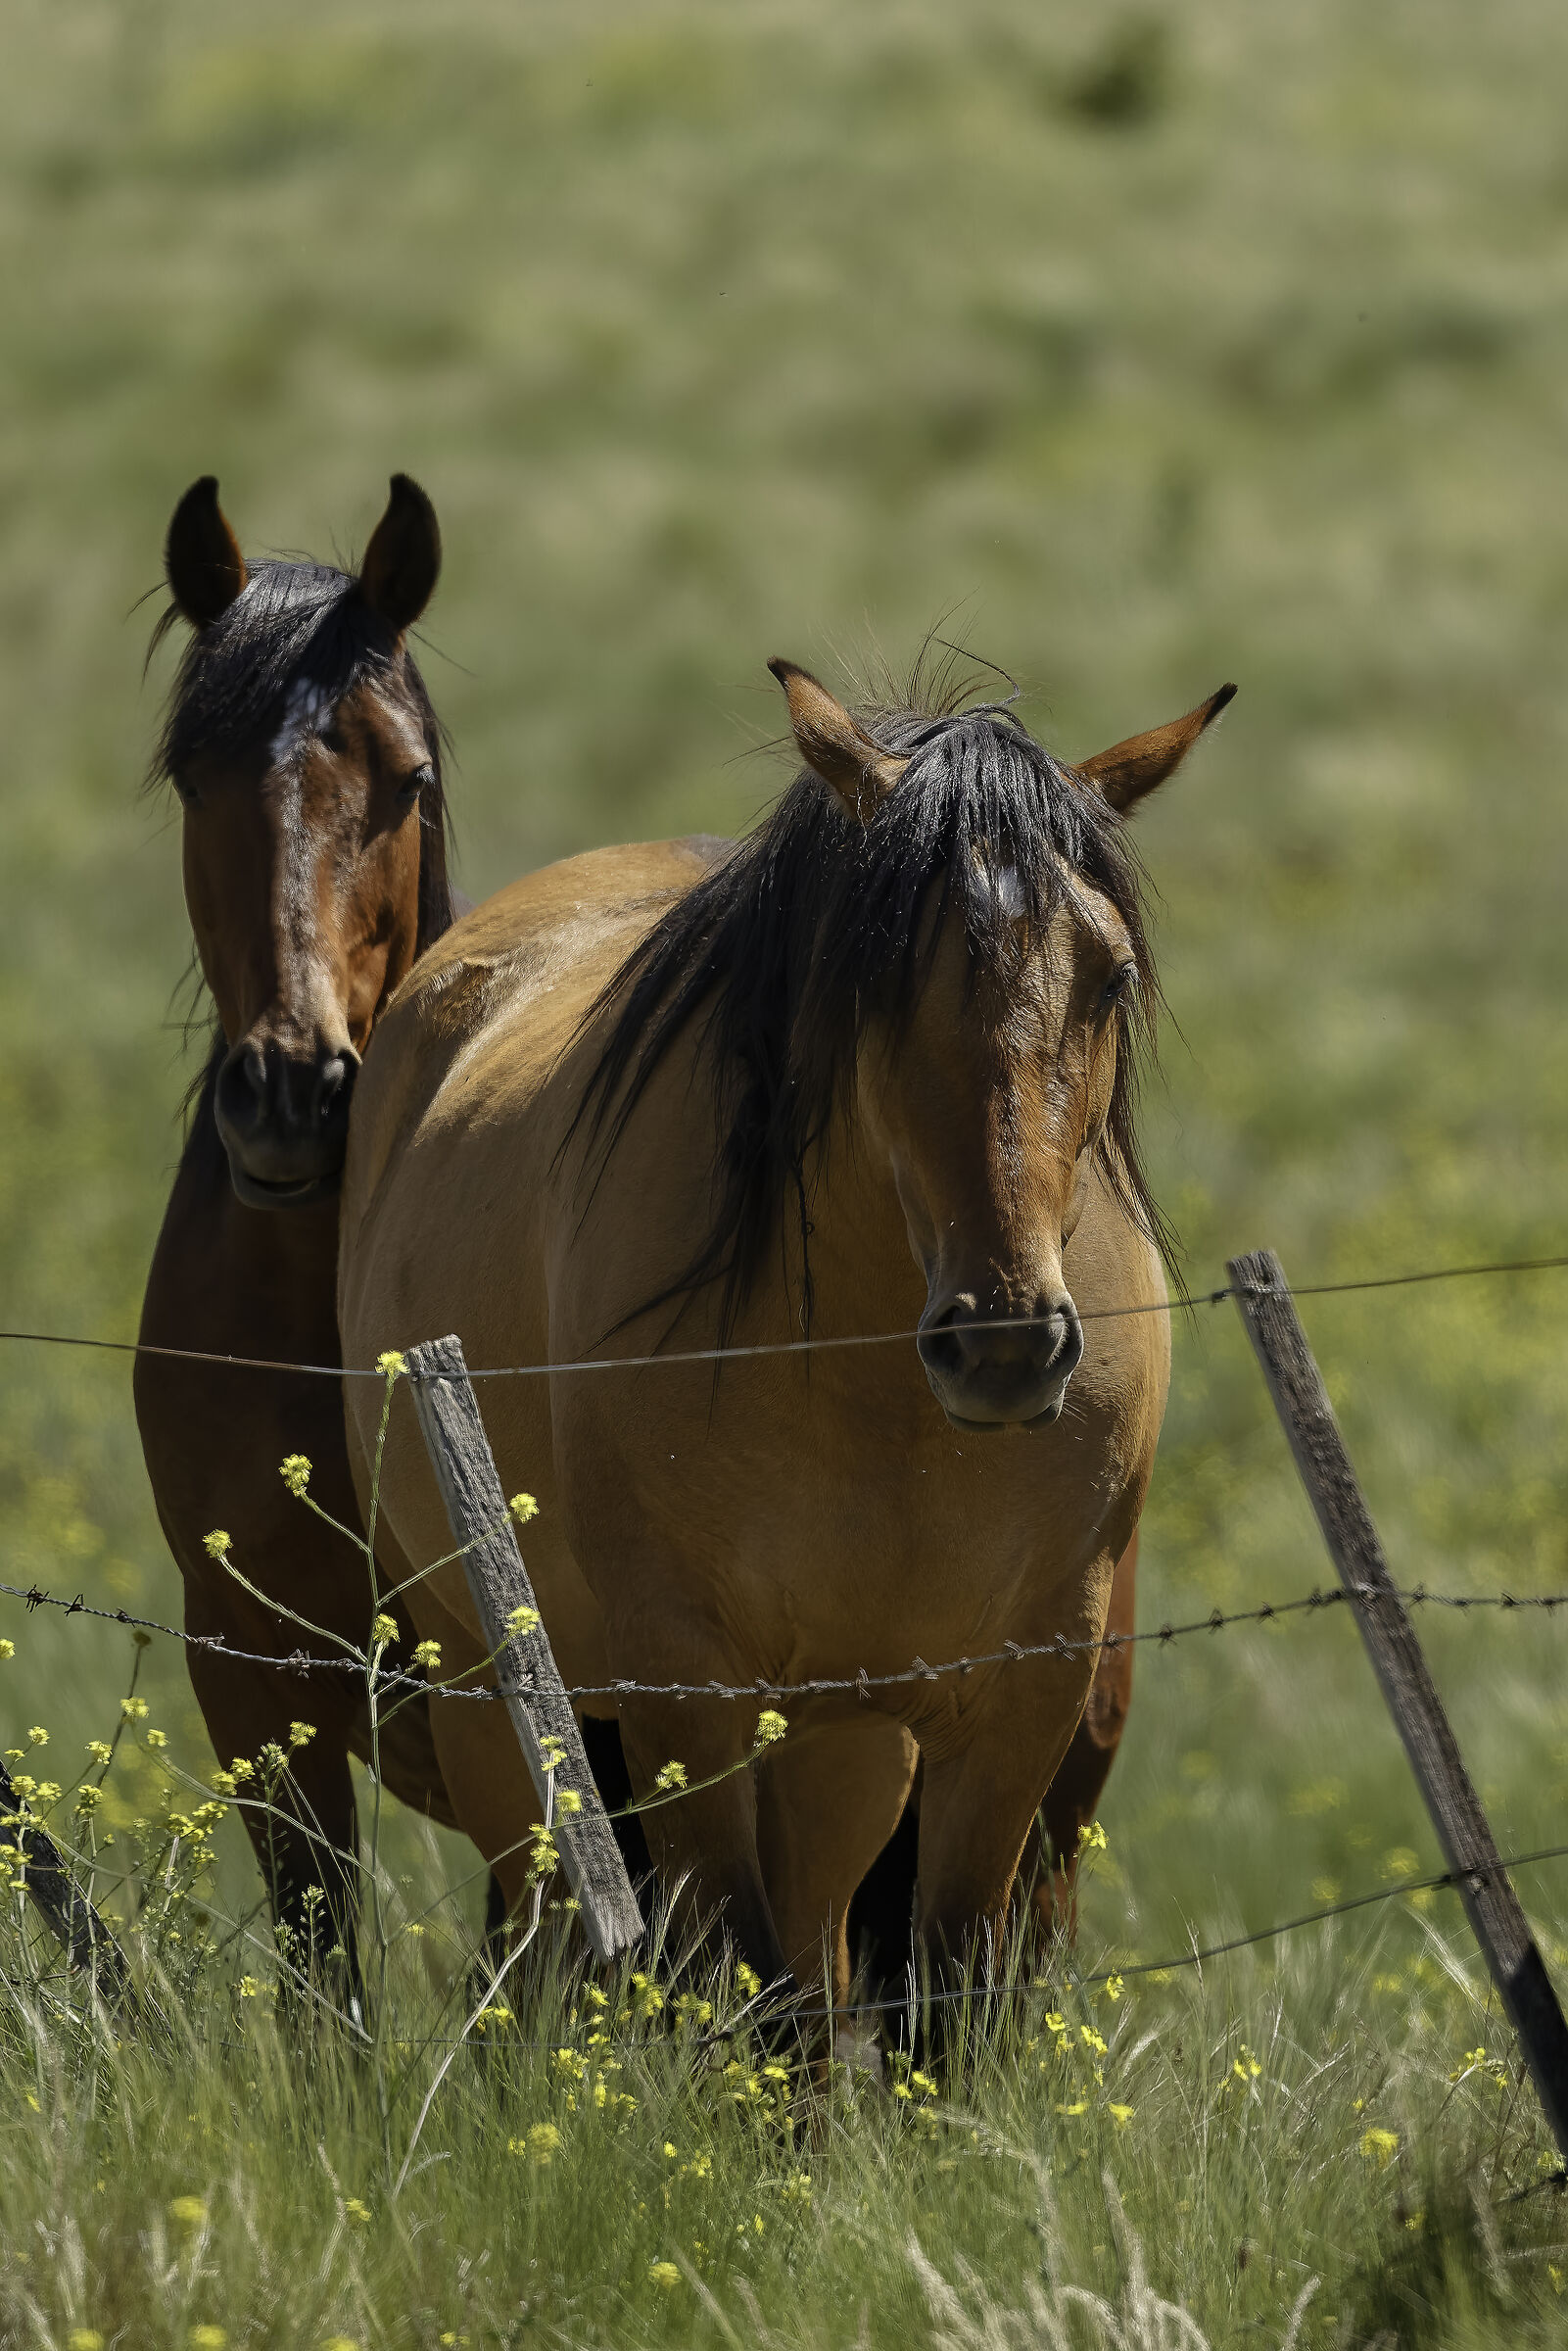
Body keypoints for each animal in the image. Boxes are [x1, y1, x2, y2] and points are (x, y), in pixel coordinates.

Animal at [336, 657, 1232, 2013]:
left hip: (835, 1745)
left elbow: (938, 1994)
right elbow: (738, 1968)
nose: (1005, 1346)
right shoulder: (684, 1690)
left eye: (1110, 979)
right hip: (489, 1691)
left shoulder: (1021, 1696)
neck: (879, 1396)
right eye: (875, 978)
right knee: (557, 1940)